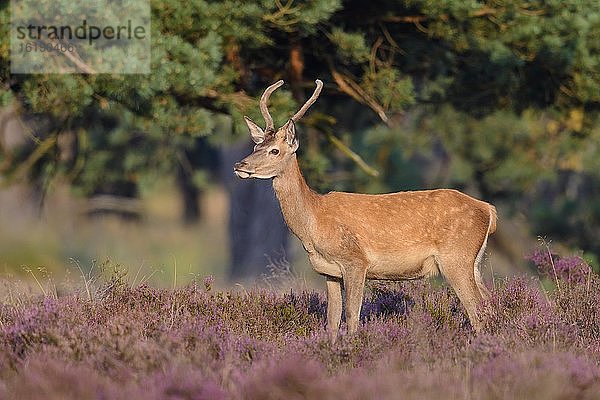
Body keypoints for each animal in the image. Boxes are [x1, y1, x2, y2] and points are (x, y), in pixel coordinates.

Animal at [234, 79, 496, 344]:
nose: (239, 165)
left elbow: (352, 316)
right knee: (489, 303)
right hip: (472, 262)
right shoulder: (329, 272)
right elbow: (331, 320)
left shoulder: (355, 261)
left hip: (456, 257)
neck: (314, 223)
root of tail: (489, 210)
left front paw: (353, 347)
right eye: (256, 145)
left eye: (274, 150)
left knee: (476, 309)